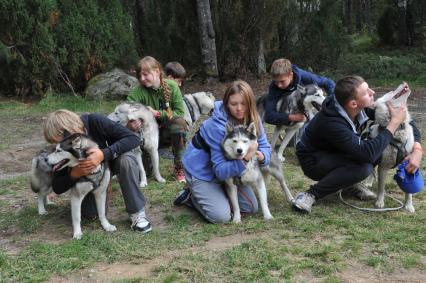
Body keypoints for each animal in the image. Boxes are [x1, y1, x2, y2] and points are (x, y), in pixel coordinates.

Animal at [370, 82, 416, 213]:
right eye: (391, 92)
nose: (404, 82)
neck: (398, 128)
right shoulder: (383, 166)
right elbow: (381, 188)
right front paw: (380, 202)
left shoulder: (409, 164)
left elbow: (409, 192)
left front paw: (409, 205)